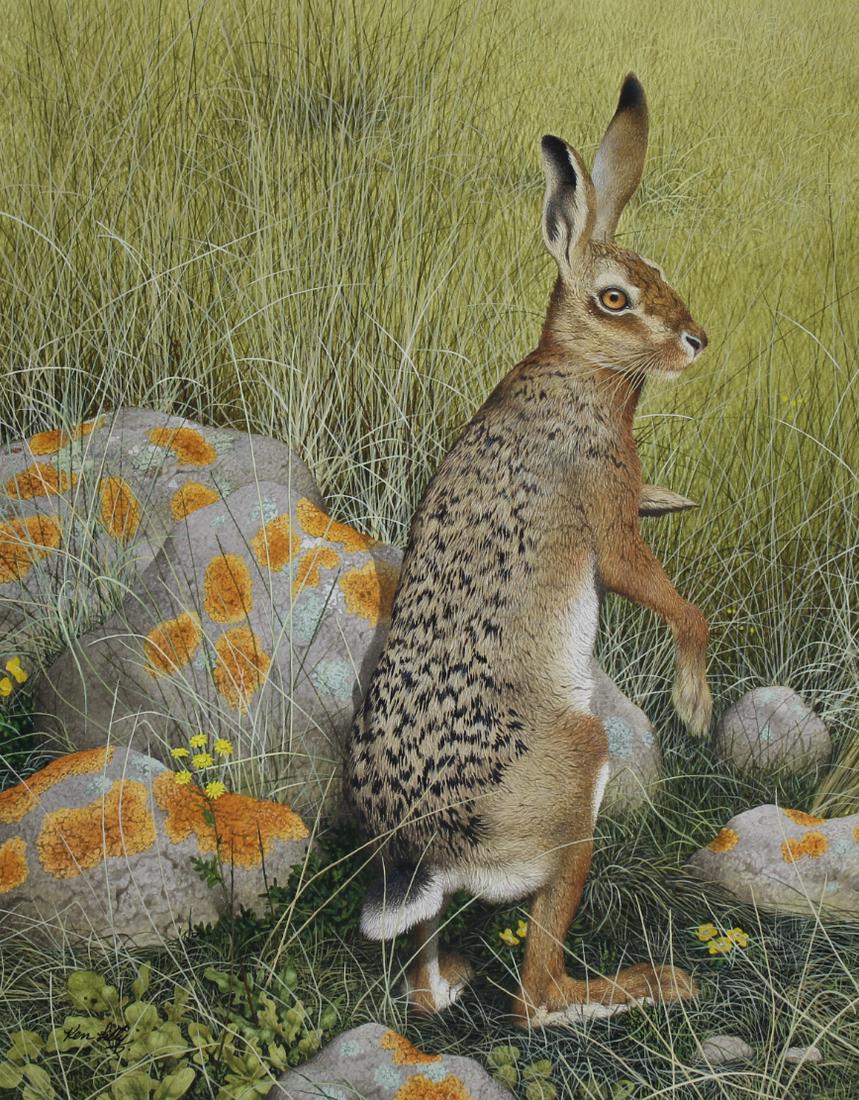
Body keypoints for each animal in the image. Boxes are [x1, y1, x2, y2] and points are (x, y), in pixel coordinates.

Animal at [347, 73, 711, 1028]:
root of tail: (430, 851)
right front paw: (694, 705)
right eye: (615, 298)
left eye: (661, 274)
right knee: (534, 998)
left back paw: (452, 978)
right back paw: (647, 986)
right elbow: (671, 601)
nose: (695, 343)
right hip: (579, 777)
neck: (579, 368)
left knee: (427, 984)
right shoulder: (604, 515)